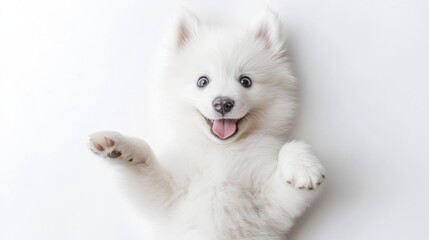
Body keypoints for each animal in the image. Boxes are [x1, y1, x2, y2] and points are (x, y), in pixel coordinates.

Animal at [89, 8, 324, 239]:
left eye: (245, 81)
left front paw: (303, 166)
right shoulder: (169, 195)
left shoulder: (269, 207)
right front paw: (119, 145)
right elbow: (146, 156)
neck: (220, 152)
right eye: (202, 81)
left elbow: (291, 149)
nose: (222, 103)